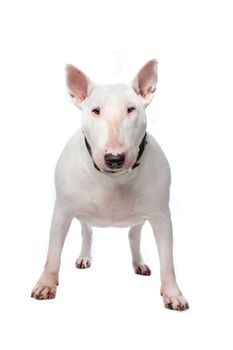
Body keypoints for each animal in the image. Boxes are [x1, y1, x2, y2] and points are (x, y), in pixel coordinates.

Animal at [31, 58, 188, 310]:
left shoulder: (162, 217)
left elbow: (167, 259)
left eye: (131, 109)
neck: (114, 179)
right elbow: (53, 254)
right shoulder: (62, 211)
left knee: (134, 235)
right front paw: (45, 285)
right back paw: (84, 257)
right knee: (87, 231)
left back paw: (139, 263)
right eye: (95, 110)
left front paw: (173, 294)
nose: (114, 158)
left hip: (139, 217)